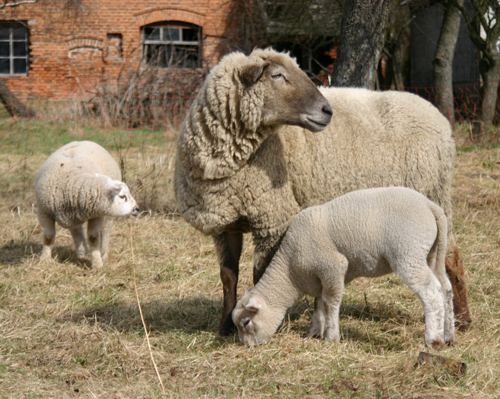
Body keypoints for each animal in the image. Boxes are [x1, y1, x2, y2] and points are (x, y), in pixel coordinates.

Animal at [232, 188, 456, 350]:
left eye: (246, 322)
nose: (246, 346)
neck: (290, 270)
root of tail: (431, 206)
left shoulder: (333, 266)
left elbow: (331, 302)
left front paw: (331, 337)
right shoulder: (322, 275)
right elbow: (319, 303)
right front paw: (314, 332)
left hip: (409, 252)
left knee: (431, 292)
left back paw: (433, 341)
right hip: (431, 253)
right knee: (445, 288)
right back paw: (449, 336)